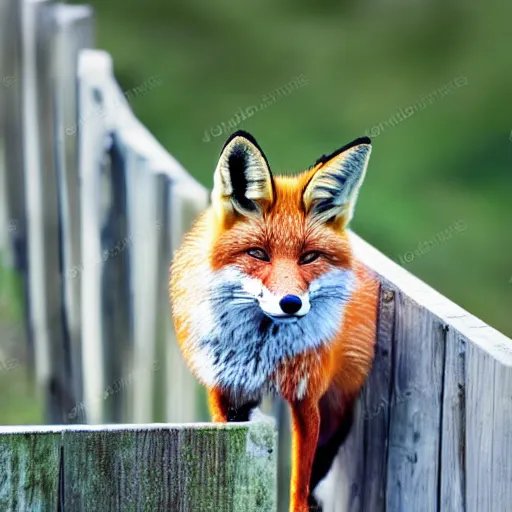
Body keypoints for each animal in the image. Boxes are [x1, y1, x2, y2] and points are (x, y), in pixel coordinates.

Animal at [170, 130, 378, 510]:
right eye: (258, 254)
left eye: (309, 257)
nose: (290, 303)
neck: (263, 350)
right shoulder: (224, 391)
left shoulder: (306, 400)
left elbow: (300, 479)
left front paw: (301, 502)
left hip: (338, 409)